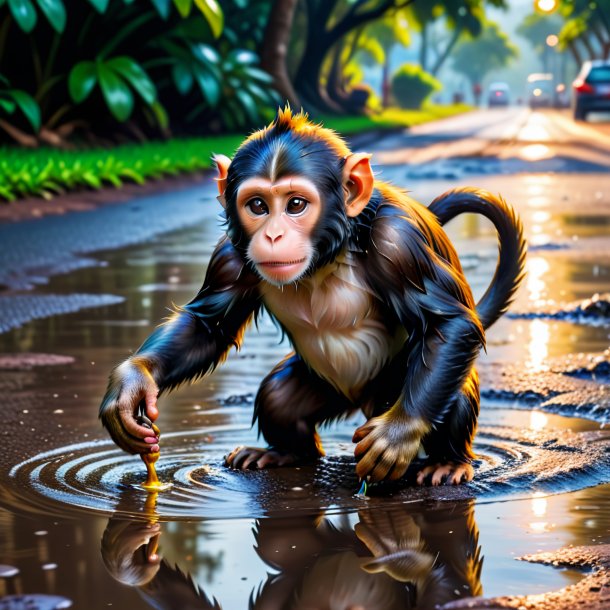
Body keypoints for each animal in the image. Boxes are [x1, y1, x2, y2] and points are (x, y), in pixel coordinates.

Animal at [98, 105, 524, 484]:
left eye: (296, 205)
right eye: (258, 205)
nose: (273, 235)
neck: (327, 254)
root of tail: (367, 402)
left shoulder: (399, 242)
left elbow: (447, 324)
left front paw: (399, 433)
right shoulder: (230, 256)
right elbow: (207, 327)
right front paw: (133, 384)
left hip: (396, 386)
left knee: (451, 390)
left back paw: (448, 461)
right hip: (327, 386)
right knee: (278, 395)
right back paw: (285, 452)